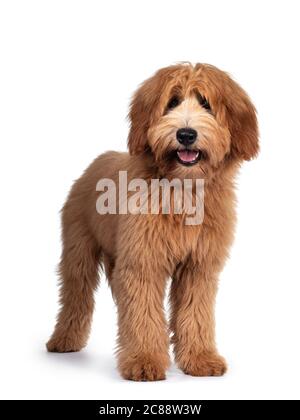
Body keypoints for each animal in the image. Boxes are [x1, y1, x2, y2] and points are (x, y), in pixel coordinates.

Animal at [46, 62, 258, 380]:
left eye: (206, 103)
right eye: (172, 102)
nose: (186, 134)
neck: (181, 189)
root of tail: (98, 160)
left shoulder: (199, 267)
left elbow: (196, 312)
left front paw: (200, 358)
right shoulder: (142, 260)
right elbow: (143, 312)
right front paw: (144, 360)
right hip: (78, 250)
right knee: (76, 293)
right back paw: (64, 340)